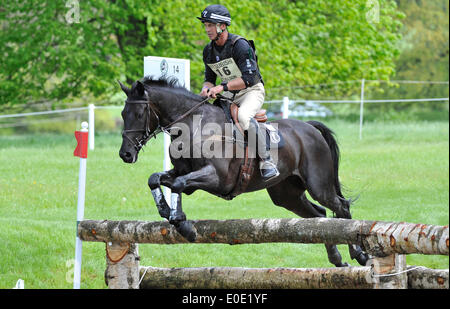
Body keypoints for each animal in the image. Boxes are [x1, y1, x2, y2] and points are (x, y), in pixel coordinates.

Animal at [118, 76, 368, 266]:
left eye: (139, 114)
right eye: (122, 114)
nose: (125, 155)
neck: (194, 126)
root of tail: (310, 127)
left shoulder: (217, 178)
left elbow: (178, 185)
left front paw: (183, 224)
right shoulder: (181, 173)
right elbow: (156, 179)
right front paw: (165, 211)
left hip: (318, 184)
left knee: (340, 208)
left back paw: (360, 254)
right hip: (286, 195)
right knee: (320, 217)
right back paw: (336, 259)